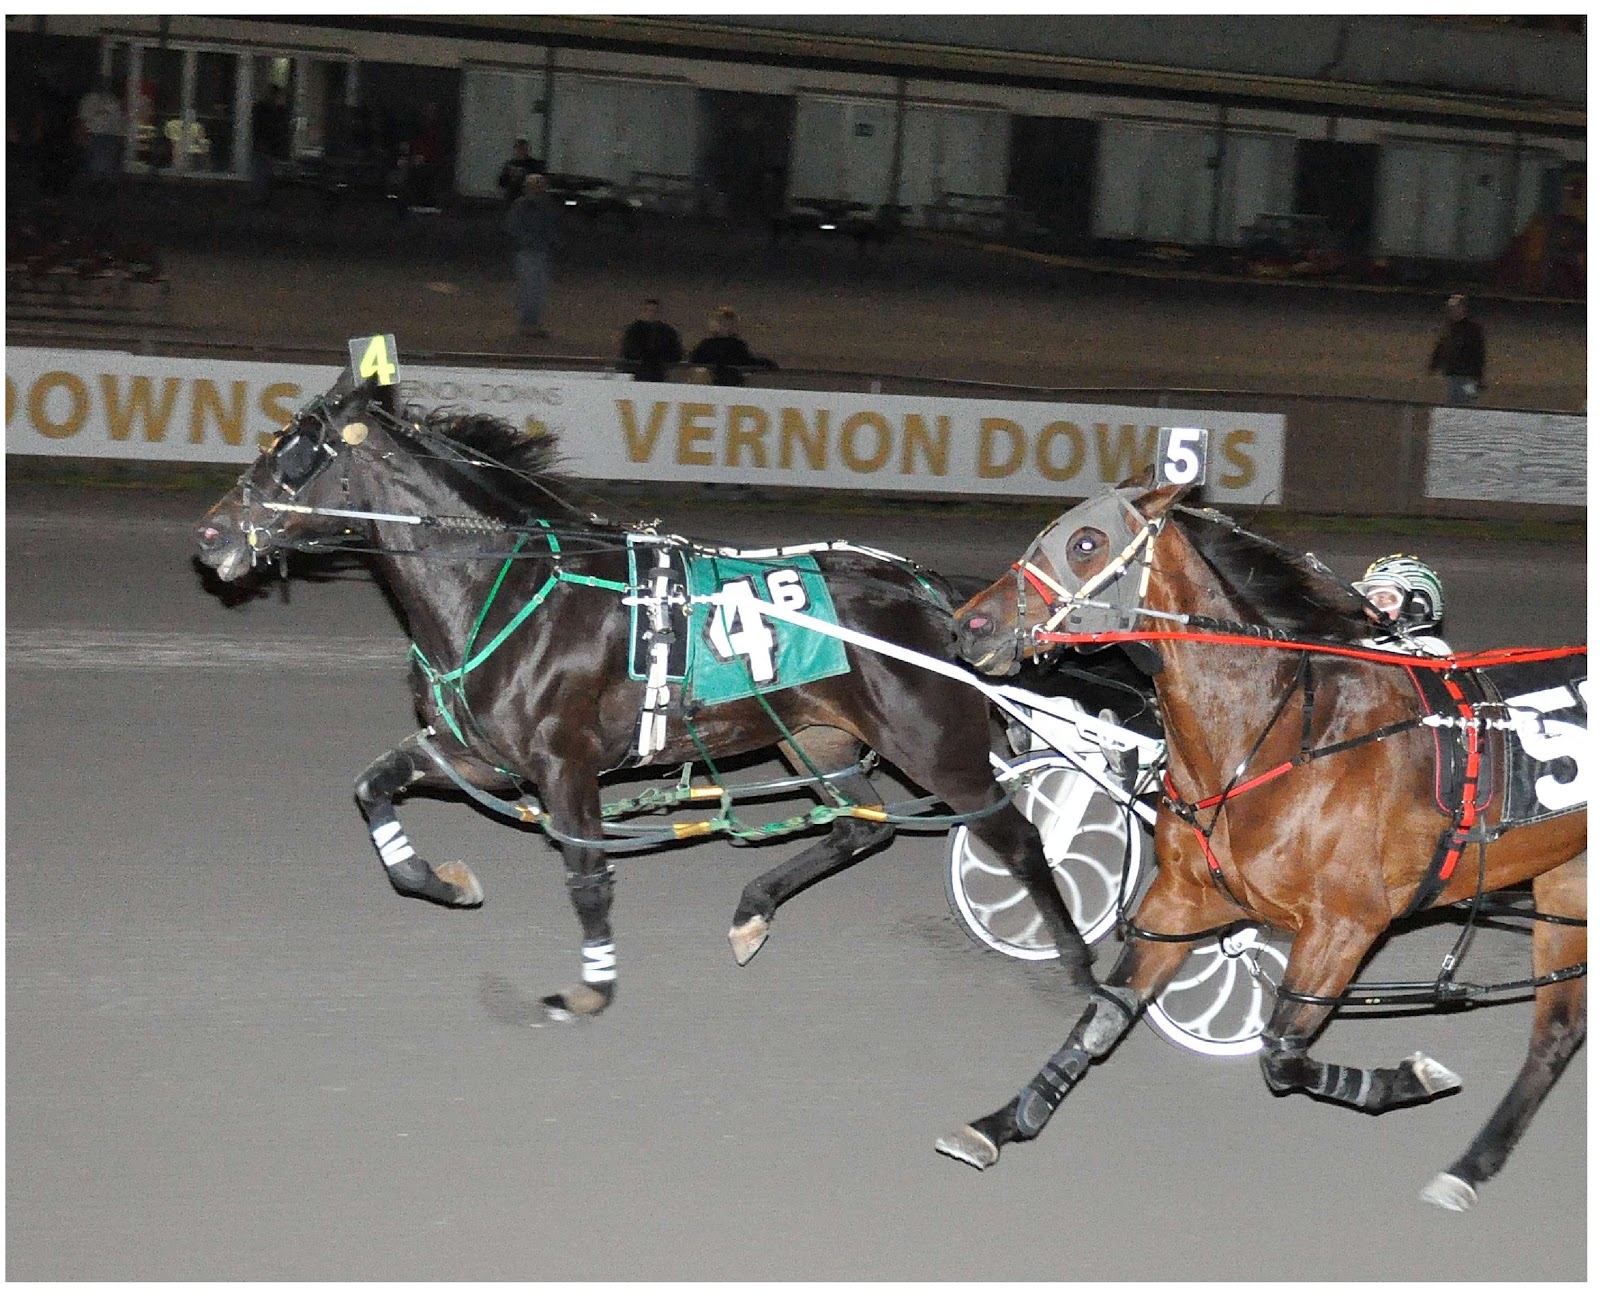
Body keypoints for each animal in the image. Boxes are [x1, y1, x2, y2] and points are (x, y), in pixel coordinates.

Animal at [193, 367, 1095, 1023]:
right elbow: (374, 788)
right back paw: (753, 908)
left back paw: (1084, 972)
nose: (209, 534)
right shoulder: (476, 754)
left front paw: (592, 986)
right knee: (859, 825)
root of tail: (929, 594)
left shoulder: (566, 761)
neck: (510, 585)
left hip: (937, 746)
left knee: (1018, 838)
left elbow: (588, 877)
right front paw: (445, 881)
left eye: (293, 456)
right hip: (816, 736)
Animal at [942, 476, 1586, 1210]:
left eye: (1085, 542)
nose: (969, 625)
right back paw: (1471, 1166)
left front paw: (1410, 1077)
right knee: (1557, 1034)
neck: (1274, 736)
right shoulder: (1182, 901)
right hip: (1566, 884)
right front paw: (1001, 1121)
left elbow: (1281, 1054)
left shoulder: (1346, 923)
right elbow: (1104, 1014)